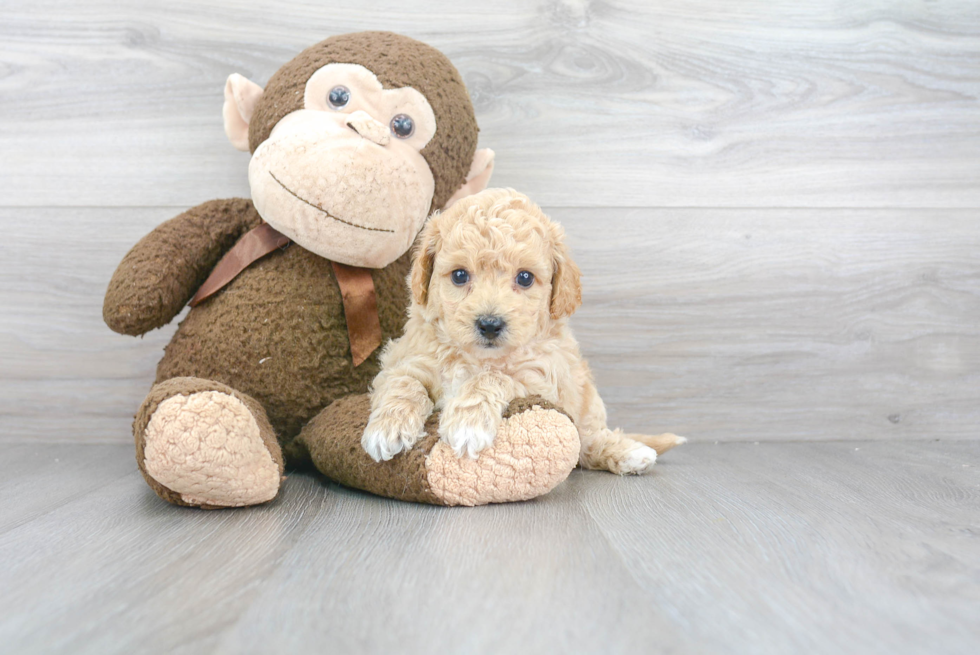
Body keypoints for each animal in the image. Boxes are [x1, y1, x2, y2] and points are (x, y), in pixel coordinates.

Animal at [358, 188, 680, 472]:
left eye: (525, 278)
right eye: (459, 275)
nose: (489, 324)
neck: (476, 358)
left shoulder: (542, 377)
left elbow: (493, 377)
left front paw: (468, 423)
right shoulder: (406, 359)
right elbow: (403, 382)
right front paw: (388, 427)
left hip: (587, 408)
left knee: (587, 442)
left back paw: (631, 453)